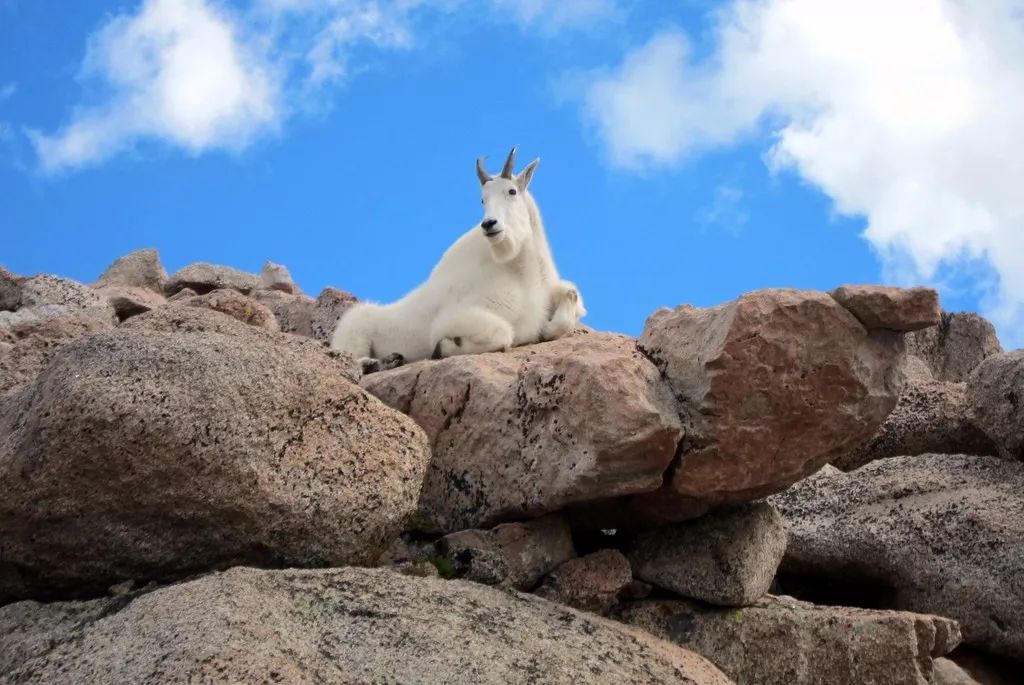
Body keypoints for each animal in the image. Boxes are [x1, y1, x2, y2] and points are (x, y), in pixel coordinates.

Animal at [329, 144, 585, 368]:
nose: (489, 224)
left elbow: (568, 300)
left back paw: (390, 360)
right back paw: (376, 363)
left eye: (511, 191)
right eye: (483, 199)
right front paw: (444, 348)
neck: (520, 270)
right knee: (347, 356)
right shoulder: (451, 319)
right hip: (354, 329)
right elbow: (503, 334)